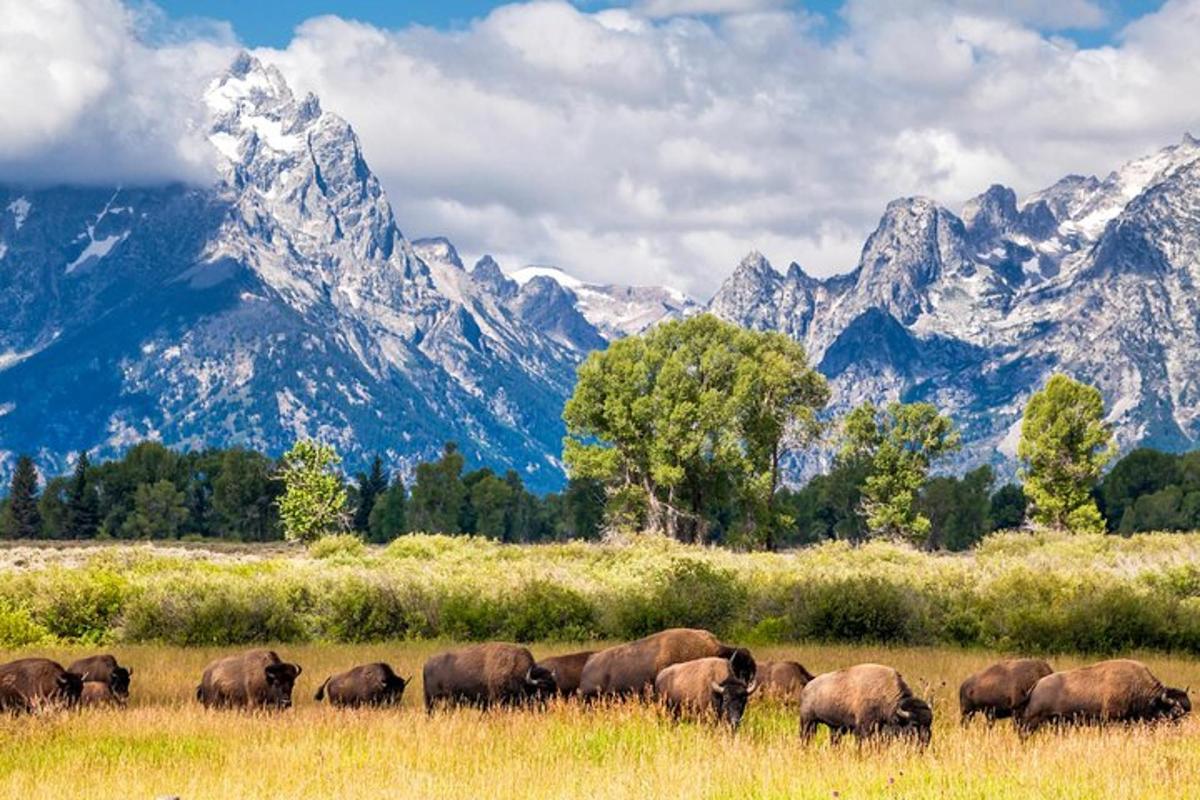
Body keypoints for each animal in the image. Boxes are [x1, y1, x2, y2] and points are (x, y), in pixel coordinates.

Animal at [801, 662, 931, 743]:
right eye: (914, 724)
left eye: (929, 723)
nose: (926, 740)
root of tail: (808, 686)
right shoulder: (863, 729)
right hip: (808, 722)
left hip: (835, 728)